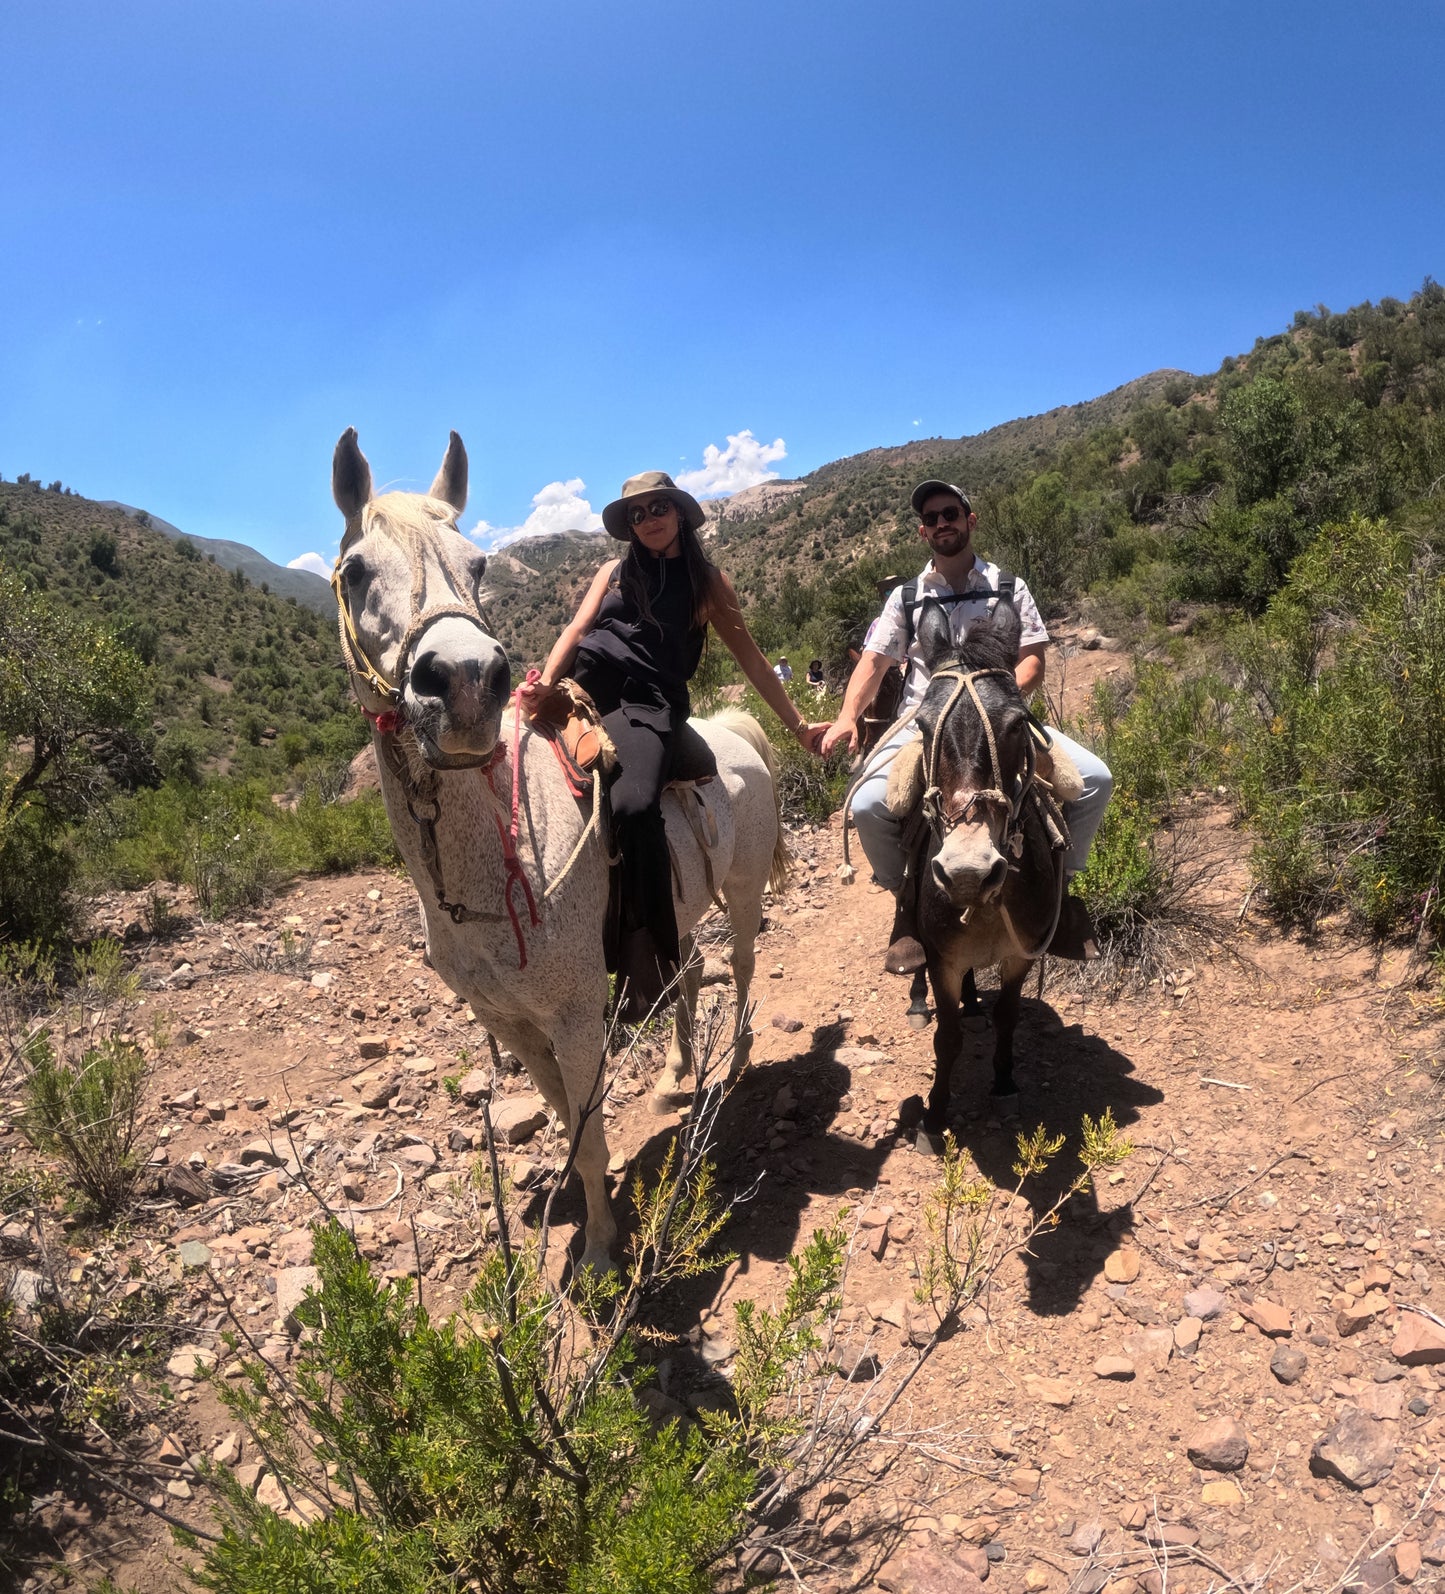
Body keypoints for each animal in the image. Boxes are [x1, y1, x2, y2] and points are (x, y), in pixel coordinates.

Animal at [329, 427, 790, 1268]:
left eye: (478, 564)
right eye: (354, 572)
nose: (465, 681)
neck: (496, 860)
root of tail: (736, 730)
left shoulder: (576, 1018)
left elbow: (590, 1135)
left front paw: (604, 1250)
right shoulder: (514, 1027)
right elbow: (568, 1132)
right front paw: (588, 1222)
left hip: (740, 896)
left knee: (739, 964)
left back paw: (736, 1051)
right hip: (672, 917)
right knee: (689, 972)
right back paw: (676, 1071)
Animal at [911, 599, 1070, 1147]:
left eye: (1018, 724)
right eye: (921, 726)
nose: (966, 872)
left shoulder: (1019, 955)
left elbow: (1007, 1017)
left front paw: (1003, 1083)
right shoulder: (942, 958)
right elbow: (947, 1036)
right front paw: (935, 1112)